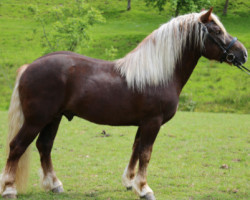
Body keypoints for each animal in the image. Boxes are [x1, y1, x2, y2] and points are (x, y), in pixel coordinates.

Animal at [0, 8, 247, 200]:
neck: (158, 74)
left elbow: (136, 150)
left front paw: (130, 182)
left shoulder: (143, 123)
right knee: (17, 146)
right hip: (37, 120)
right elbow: (145, 154)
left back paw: (54, 184)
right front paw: (144, 189)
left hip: (53, 118)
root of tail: (29, 67)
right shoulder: (152, 122)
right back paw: (10, 189)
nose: (242, 54)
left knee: (45, 146)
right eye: (217, 31)